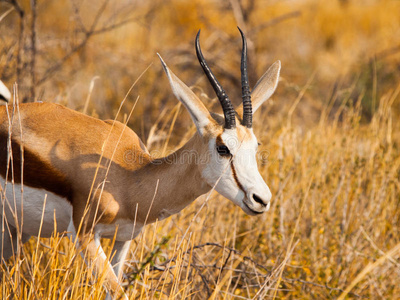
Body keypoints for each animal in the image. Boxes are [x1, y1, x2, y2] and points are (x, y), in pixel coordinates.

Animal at [0, 28, 280, 300]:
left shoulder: (123, 239)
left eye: (256, 145)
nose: (261, 199)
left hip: (12, 231)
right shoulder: (83, 235)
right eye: (223, 148)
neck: (131, 180)